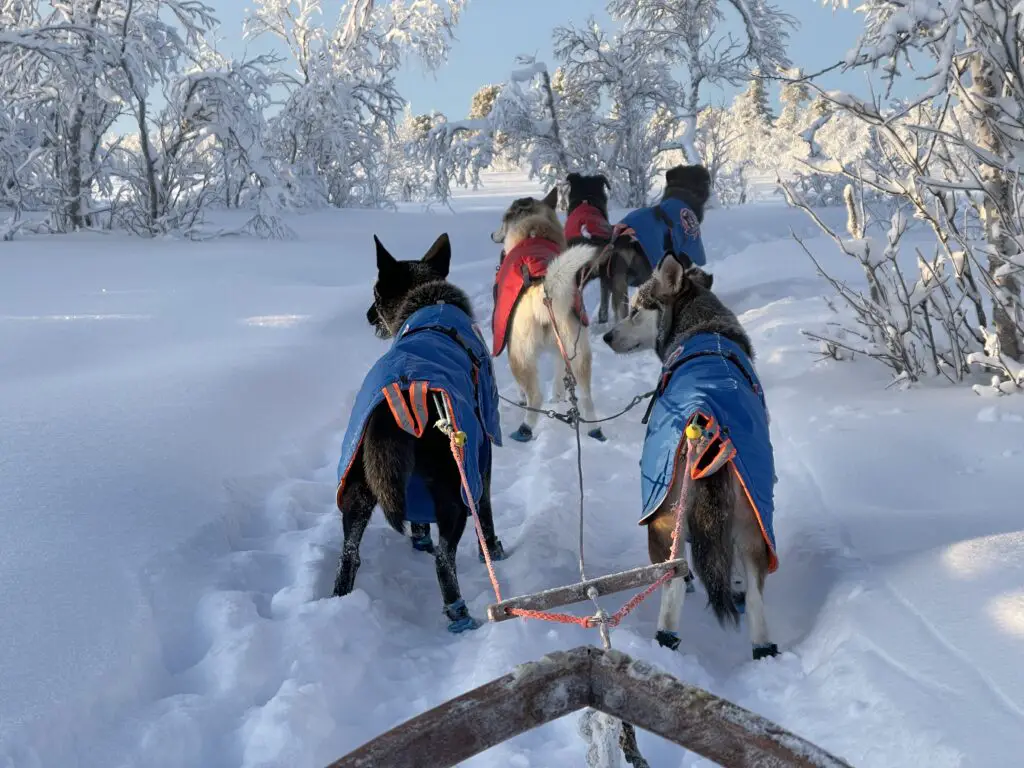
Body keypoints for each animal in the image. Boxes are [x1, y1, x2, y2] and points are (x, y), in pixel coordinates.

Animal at [598, 253, 774, 663]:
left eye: (635, 310)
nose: (607, 337)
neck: (701, 326)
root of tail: (704, 421)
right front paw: (734, 585)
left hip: (662, 524)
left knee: (672, 588)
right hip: (754, 522)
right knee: (756, 603)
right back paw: (762, 646)